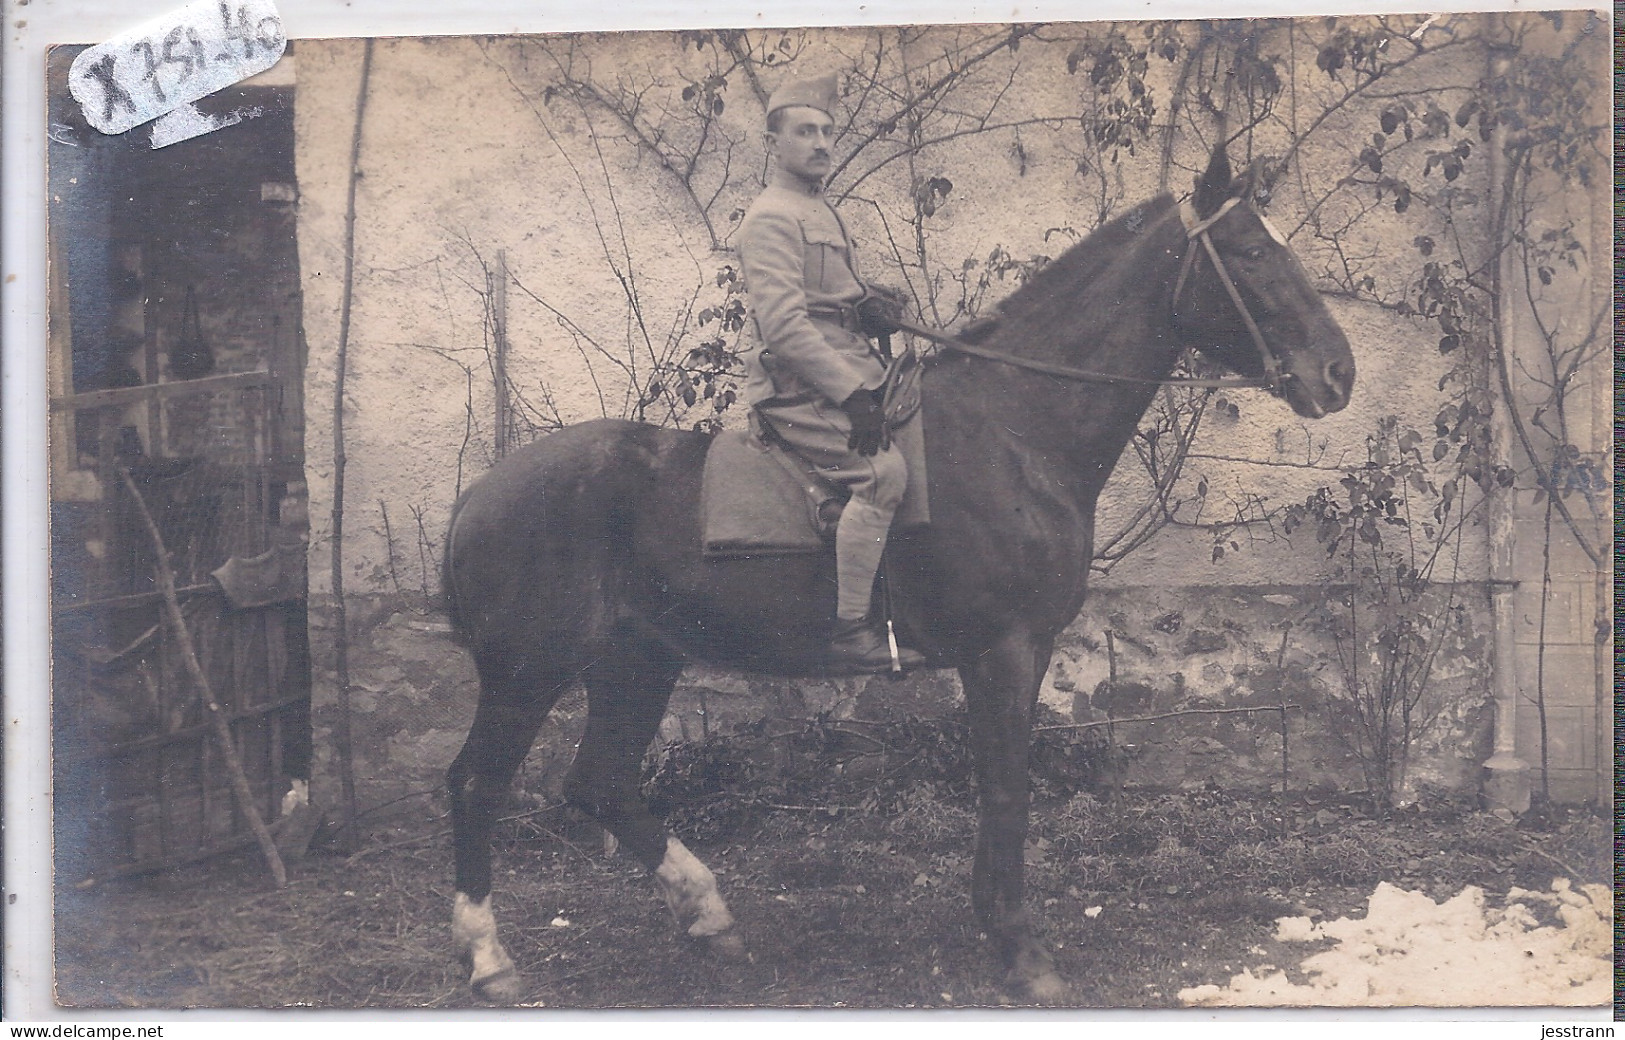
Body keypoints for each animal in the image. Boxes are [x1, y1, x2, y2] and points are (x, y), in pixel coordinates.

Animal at [438, 142, 1352, 1001]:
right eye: (1250, 252)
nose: (1337, 372)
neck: (1011, 429)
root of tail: (480, 493)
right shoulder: (1003, 651)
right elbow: (1006, 791)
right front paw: (1021, 951)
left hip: (637, 661)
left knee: (601, 783)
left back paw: (710, 919)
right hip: (530, 671)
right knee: (476, 783)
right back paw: (490, 961)